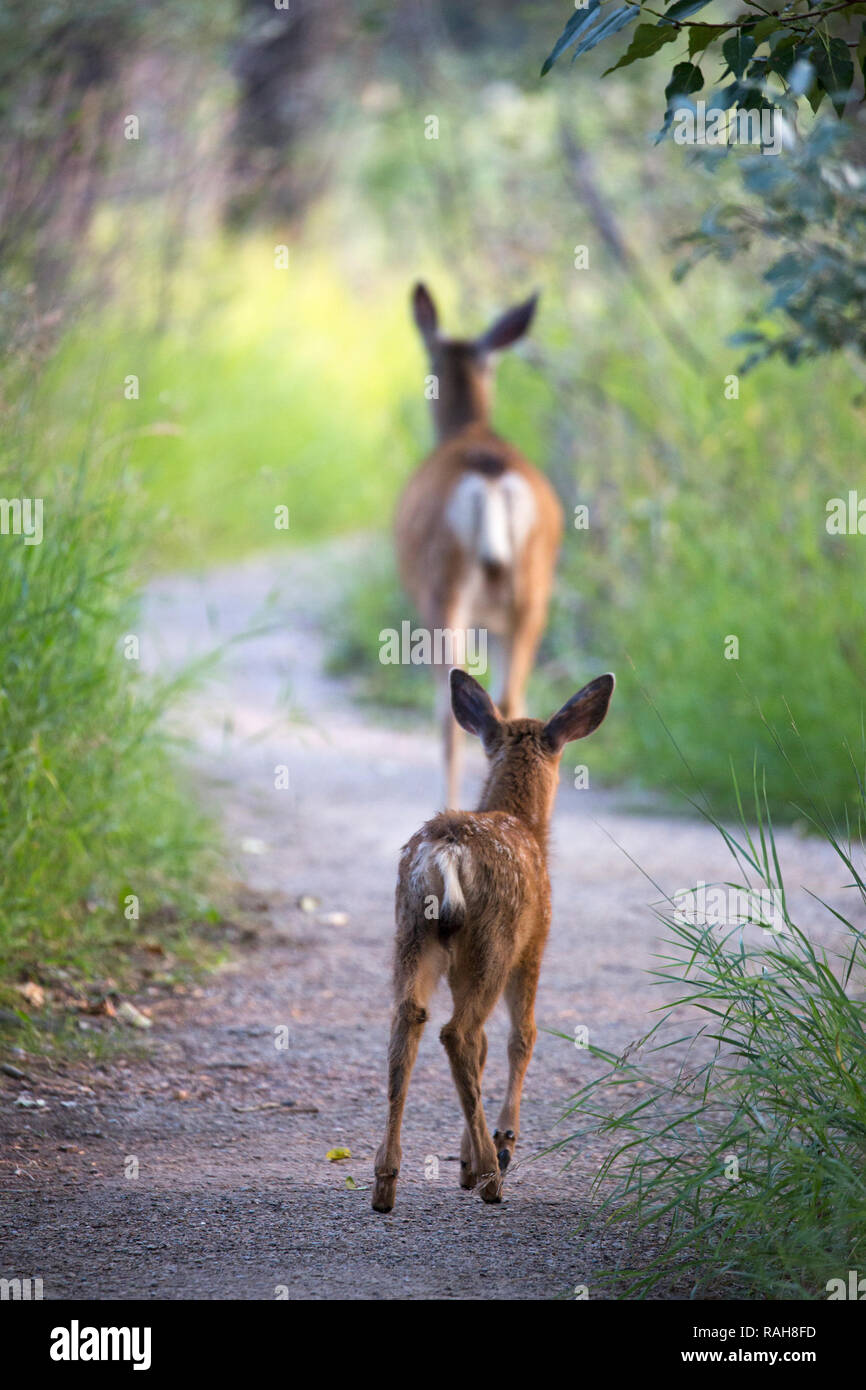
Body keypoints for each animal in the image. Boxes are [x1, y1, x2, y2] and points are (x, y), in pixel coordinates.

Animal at [372, 666, 615, 1213]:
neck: (523, 822)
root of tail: (447, 849)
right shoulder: (536, 941)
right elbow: (521, 1037)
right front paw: (499, 1144)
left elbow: (485, 1047)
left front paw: (465, 1157)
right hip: (495, 940)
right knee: (459, 1034)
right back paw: (490, 1175)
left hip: (412, 930)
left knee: (410, 1021)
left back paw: (385, 1184)